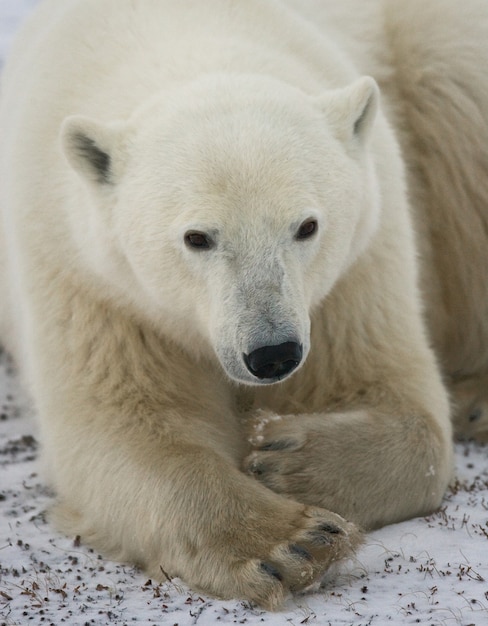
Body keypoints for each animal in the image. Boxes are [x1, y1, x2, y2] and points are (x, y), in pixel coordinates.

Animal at [0, 0, 486, 608]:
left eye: (307, 225)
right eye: (197, 237)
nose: (273, 353)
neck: (187, 33)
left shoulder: (355, 268)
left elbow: (394, 397)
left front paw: (284, 458)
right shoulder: (89, 279)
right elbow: (119, 427)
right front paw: (291, 543)